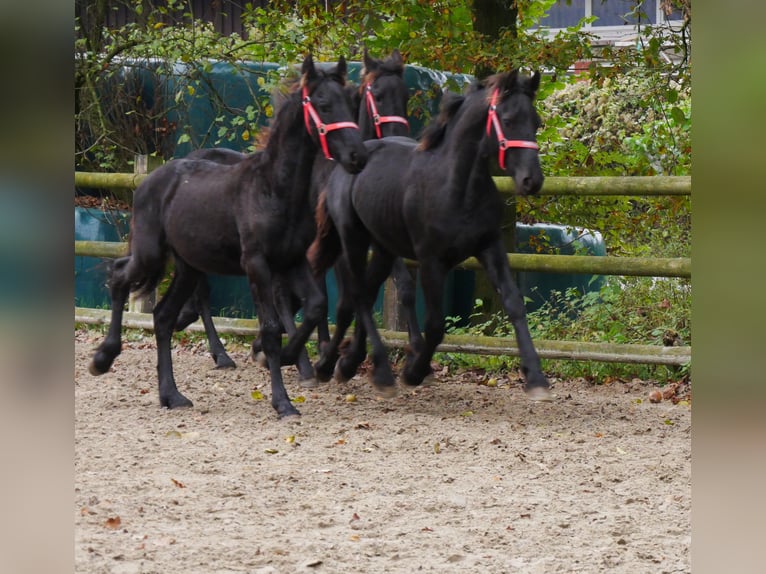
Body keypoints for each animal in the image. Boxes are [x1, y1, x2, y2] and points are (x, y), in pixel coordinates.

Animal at [87, 56, 368, 418]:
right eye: (323, 104)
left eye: (351, 102)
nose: (357, 156)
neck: (273, 190)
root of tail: (150, 180)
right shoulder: (257, 265)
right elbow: (271, 327)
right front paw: (282, 401)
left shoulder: (292, 260)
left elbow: (316, 306)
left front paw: (288, 359)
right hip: (150, 253)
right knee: (120, 277)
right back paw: (103, 359)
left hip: (188, 266)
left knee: (162, 316)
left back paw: (172, 395)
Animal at [176, 48, 420, 382]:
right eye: (378, 95)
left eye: (405, 96)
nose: (399, 138)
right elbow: (330, 298)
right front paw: (323, 357)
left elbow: (402, 288)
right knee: (206, 294)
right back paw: (226, 354)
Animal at [310, 70, 552, 402]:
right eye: (508, 118)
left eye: (536, 121)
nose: (532, 180)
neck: (458, 188)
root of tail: (347, 161)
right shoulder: (431, 261)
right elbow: (436, 325)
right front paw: (414, 372)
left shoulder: (490, 247)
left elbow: (515, 304)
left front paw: (536, 378)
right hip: (353, 240)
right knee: (354, 296)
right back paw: (337, 366)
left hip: (384, 249)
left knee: (366, 294)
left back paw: (349, 364)